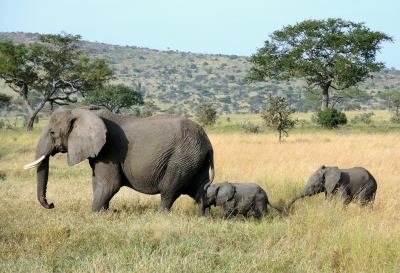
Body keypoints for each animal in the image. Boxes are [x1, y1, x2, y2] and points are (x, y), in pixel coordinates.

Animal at [23, 105, 214, 212]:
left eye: (52, 132)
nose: (52, 204)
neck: (80, 110)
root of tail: (207, 141)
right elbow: (98, 183)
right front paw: (107, 212)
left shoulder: (109, 150)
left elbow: (110, 184)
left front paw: (99, 213)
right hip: (195, 158)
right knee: (199, 189)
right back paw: (205, 216)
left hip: (182, 157)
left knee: (169, 189)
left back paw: (161, 215)